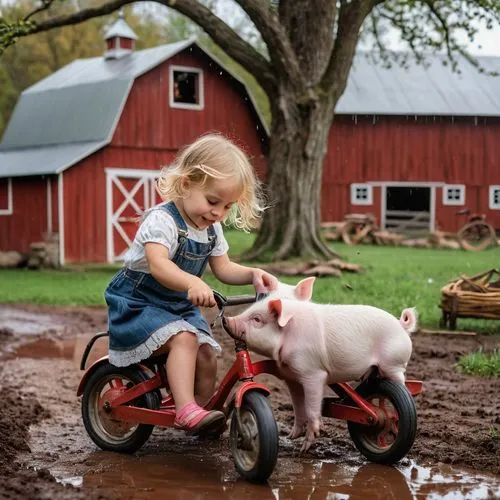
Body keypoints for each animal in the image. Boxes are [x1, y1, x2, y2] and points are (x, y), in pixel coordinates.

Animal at [225, 280, 416, 452]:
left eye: (257, 319)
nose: (227, 319)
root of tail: (401, 324)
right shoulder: (291, 376)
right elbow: (298, 406)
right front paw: (292, 437)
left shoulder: (314, 373)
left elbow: (311, 407)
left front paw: (304, 448)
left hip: (394, 363)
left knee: (403, 388)